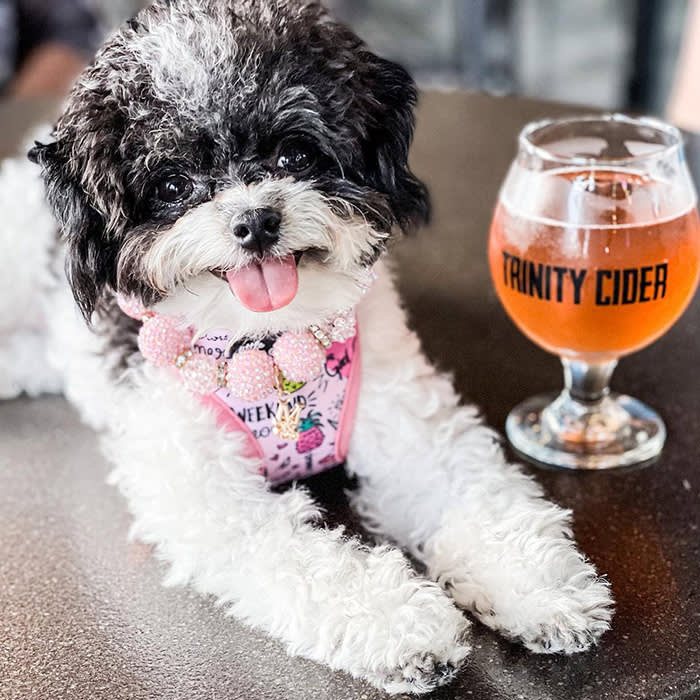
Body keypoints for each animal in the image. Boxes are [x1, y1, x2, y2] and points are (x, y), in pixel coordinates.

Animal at [1, 0, 612, 696]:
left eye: (294, 152)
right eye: (173, 185)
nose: (254, 220)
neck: (266, 344)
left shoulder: (412, 428)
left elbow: (476, 492)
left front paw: (540, 586)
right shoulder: (210, 494)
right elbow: (299, 557)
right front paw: (403, 625)